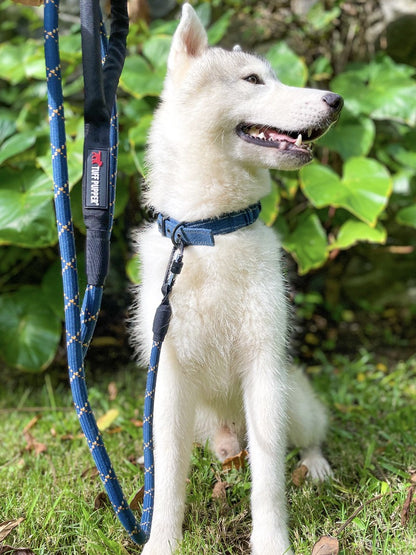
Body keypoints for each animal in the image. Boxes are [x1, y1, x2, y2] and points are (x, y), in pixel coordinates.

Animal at [132, 3, 342, 552]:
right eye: (252, 79)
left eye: (274, 75)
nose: (336, 100)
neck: (209, 232)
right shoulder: (169, 385)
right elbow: (167, 481)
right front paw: (160, 541)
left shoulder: (264, 373)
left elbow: (268, 479)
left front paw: (272, 542)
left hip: (294, 402)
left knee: (309, 436)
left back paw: (315, 465)